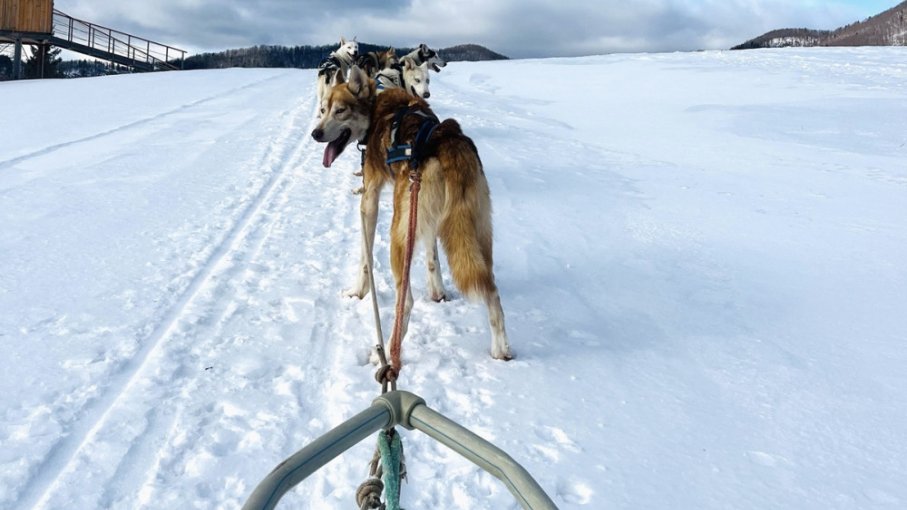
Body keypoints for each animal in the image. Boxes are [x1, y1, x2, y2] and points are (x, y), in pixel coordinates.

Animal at [310, 65, 510, 362]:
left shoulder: (370, 198)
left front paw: (358, 292)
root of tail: (446, 140)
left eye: (340, 111)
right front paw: (437, 291)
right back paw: (501, 349)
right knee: (492, 289)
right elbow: (432, 257)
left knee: (406, 302)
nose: (315, 133)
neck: (376, 108)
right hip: (477, 233)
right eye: (323, 109)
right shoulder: (427, 220)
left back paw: (386, 353)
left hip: (400, 235)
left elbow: (365, 258)